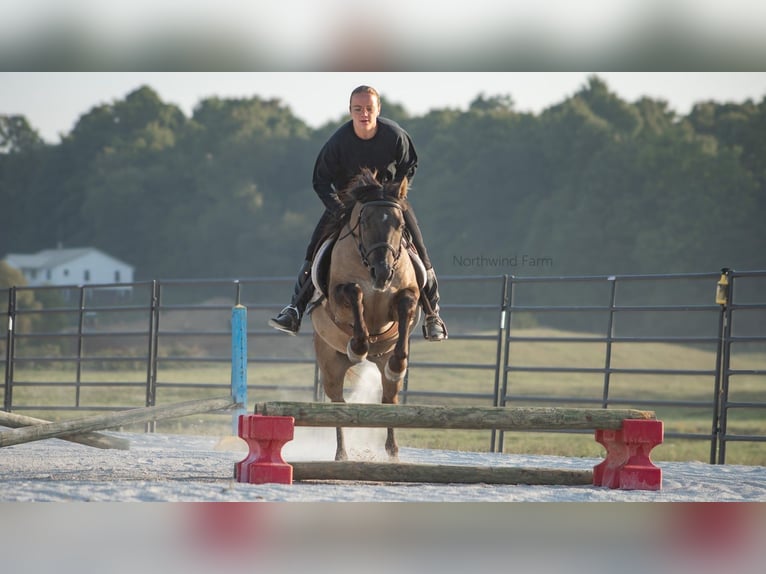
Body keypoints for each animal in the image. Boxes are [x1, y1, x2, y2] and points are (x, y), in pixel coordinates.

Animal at [308, 169, 424, 462]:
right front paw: (358, 347)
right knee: (337, 404)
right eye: (365, 221)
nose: (383, 272)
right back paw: (341, 454)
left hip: (382, 365)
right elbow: (355, 293)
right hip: (330, 366)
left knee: (389, 399)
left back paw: (392, 452)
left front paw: (399, 362)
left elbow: (406, 307)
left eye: (399, 224)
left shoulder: (403, 298)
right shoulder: (338, 298)